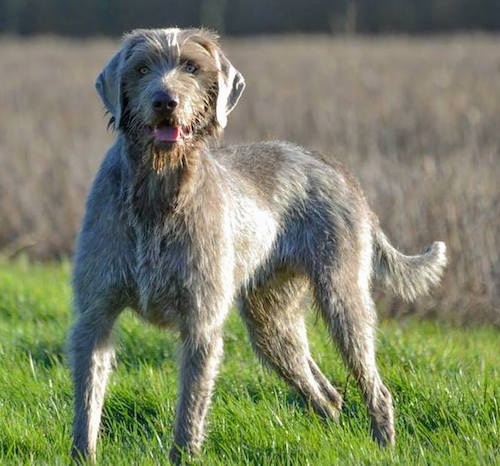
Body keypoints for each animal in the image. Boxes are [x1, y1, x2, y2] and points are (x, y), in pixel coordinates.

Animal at [68, 28, 448, 462]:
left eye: (191, 67)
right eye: (142, 68)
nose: (165, 102)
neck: (157, 191)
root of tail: (339, 171)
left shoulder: (200, 324)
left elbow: (189, 413)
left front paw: (185, 454)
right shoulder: (95, 317)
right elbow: (87, 403)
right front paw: (83, 454)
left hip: (342, 301)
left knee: (375, 387)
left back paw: (384, 443)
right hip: (273, 324)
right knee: (327, 394)